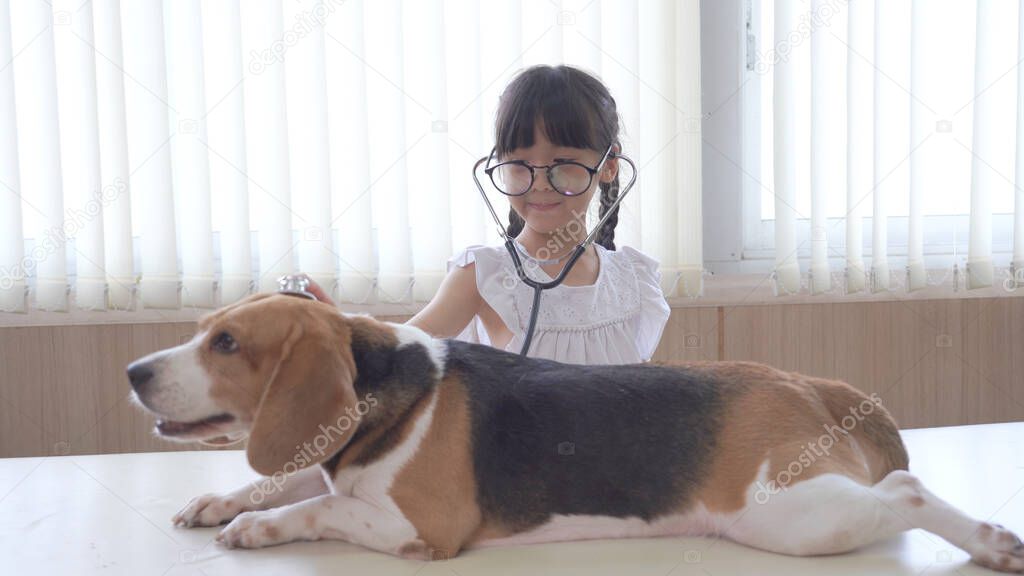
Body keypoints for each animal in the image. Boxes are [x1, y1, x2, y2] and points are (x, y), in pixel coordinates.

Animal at [132, 293, 1024, 569]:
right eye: (203, 329)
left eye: (227, 343)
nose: (136, 372)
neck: (394, 391)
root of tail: (810, 382)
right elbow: (288, 475)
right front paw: (222, 501)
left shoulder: (423, 527)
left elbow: (315, 504)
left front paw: (256, 528)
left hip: (787, 515)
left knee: (907, 488)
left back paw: (989, 543)